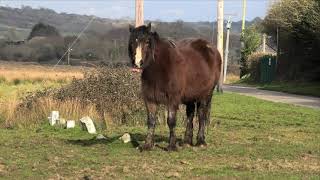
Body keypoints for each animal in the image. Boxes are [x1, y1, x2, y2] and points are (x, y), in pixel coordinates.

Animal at [129, 23, 221, 151]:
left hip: (206, 94)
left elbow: (171, 121)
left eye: (147, 41)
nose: (138, 63)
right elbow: (151, 121)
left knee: (202, 114)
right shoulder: (150, 99)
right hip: (190, 96)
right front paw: (147, 145)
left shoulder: (172, 99)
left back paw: (200, 141)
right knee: (190, 114)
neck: (159, 69)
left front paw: (171, 146)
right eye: (132, 41)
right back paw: (186, 141)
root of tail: (212, 50)